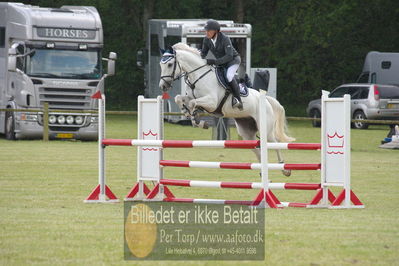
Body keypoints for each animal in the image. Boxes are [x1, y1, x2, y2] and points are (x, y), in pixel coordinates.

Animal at [158, 43, 296, 177]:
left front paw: (197, 119)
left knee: (275, 143)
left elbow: (193, 103)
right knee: (257, 149)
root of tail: (266, 99)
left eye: (170, 64)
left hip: (266, 129)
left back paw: (285, 169)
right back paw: (263, 172)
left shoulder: (212, 102)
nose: (163, 86)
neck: (198, 76)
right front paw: (190, 115)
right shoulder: (193, 98)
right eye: (161, 64)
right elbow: (179, 98)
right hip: (246, 132)